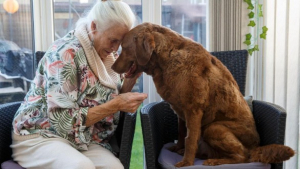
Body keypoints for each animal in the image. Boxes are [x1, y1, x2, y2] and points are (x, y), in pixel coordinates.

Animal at [110, 23, 296, 167]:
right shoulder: (181, 112)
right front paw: (178, 149)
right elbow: (181, 133)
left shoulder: (193, 110)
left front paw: (186, 162)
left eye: (124, 47)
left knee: (243, 156)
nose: (112, 67)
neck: (167, 60)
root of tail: (256, 148)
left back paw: (216, 161)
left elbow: (190, 138)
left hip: (214, 128)